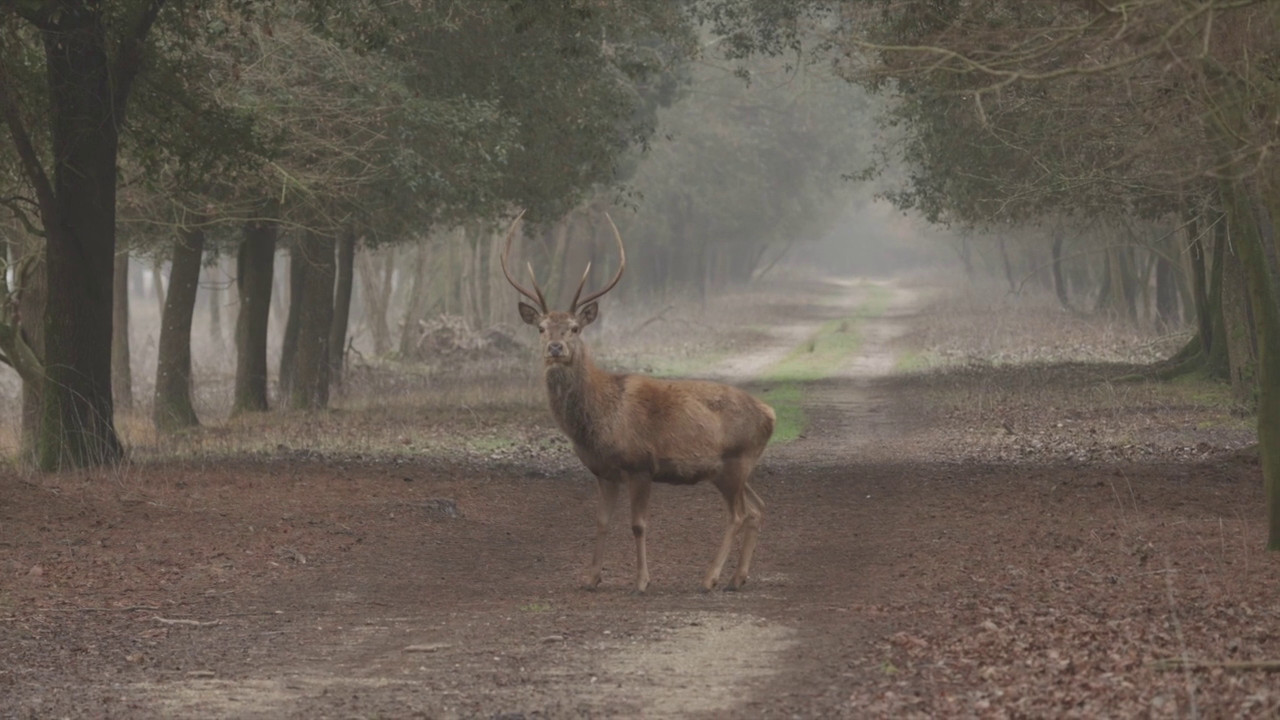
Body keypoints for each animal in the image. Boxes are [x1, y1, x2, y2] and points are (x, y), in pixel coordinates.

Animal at [504, 207, 773, 589]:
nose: (556, 347)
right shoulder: (603, 471)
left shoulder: (640, 464)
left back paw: (710, 578)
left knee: (738, 514)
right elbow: (601, 521)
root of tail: (771, 414)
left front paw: (642, 580)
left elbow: (638, 525)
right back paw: (738, 578)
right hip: (737, 468)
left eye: (574, 328)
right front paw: (591, 577)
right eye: (541, 328)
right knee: (758, 507)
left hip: (735, 461)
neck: (600, 417)